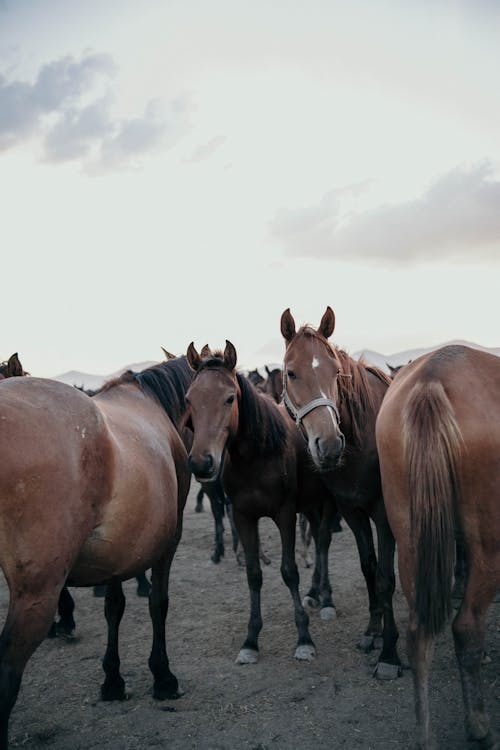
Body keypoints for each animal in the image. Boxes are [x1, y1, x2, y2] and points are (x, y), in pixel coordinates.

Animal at [0, 356, 195, 748]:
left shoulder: (117, 552)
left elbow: (114, 608)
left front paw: (113, 680)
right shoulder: (168, 544)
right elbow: (158, 604)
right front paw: (163, 676)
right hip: (35, 595)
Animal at [282, 306, 402, 680]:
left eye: (335, 371)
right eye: (291, 373)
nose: (330, 445)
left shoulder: (383, 513)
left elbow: (385, 577)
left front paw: (390, 654)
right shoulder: (351, 511)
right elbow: (368, 568)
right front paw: (373, 632)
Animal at [376, 346, 500, 750]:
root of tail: (432, 379)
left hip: (410, 539)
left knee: (418, 634)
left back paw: (424, 734)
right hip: (489, 548)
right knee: (467, 626)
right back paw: (479, 726)